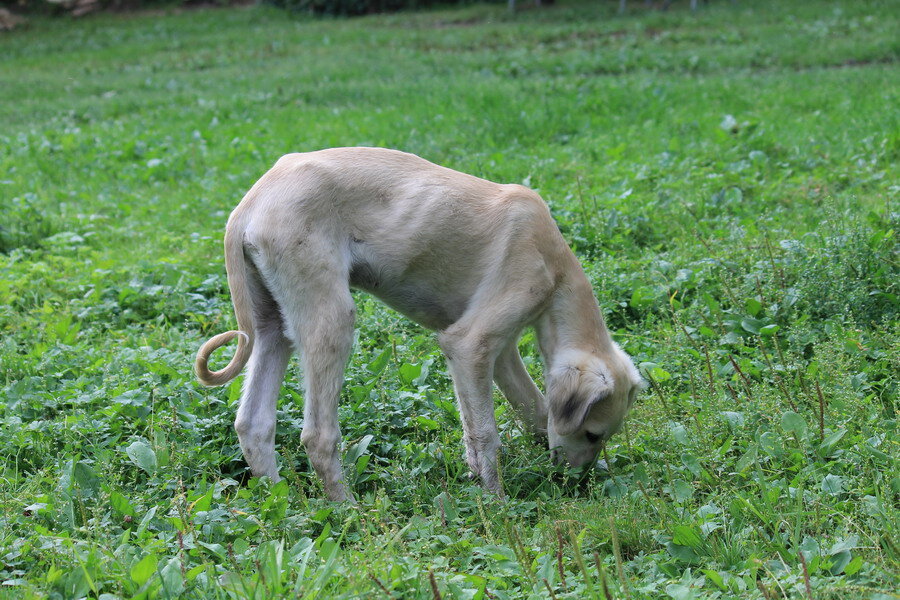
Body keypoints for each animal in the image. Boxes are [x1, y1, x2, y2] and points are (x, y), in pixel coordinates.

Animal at [196, 146, 644, 502]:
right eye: (593, 434)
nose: (575, 484)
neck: (553, 264)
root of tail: (251, 203)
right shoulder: (469, 343)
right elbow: (487, 433)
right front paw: (497, 504)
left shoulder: (495, 354)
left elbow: (525, 411)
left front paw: (481, 475)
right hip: (331, 320)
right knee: (318, 436)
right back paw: (347, 511)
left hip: (273, 326)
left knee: (253, 424)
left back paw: (281, 504)